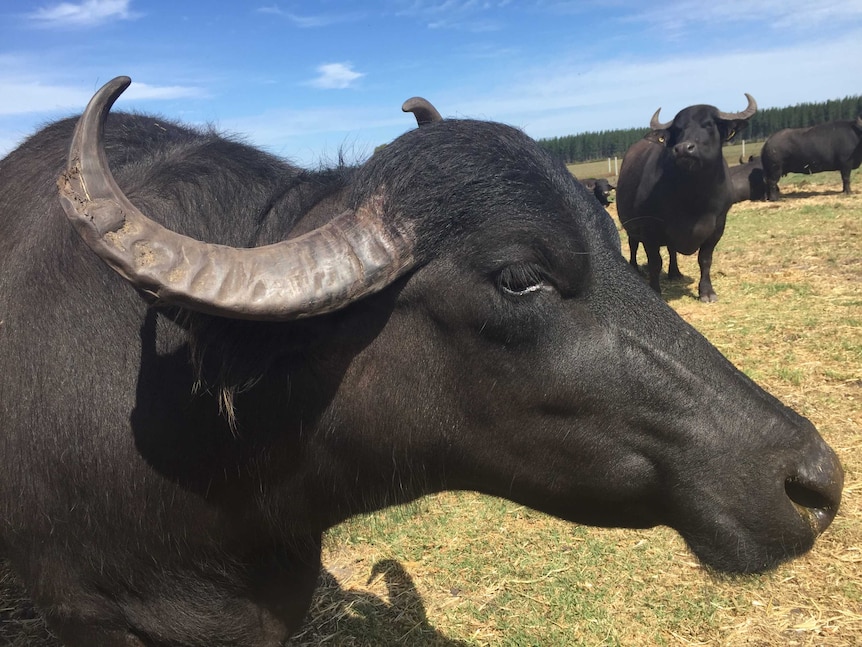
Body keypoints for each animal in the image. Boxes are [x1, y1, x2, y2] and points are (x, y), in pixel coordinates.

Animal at [616, 95, 760, 302]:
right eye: (678, 129)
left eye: (708, 124)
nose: (684, 148)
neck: (693, 197)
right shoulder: (649, 229)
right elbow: (655, 262)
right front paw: (656, 290)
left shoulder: (717, 227)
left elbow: (705, 259)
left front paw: (707, 292)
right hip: (630, 226)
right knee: (634, 246)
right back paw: (635, 269)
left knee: (671, 250)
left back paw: (675, 272)